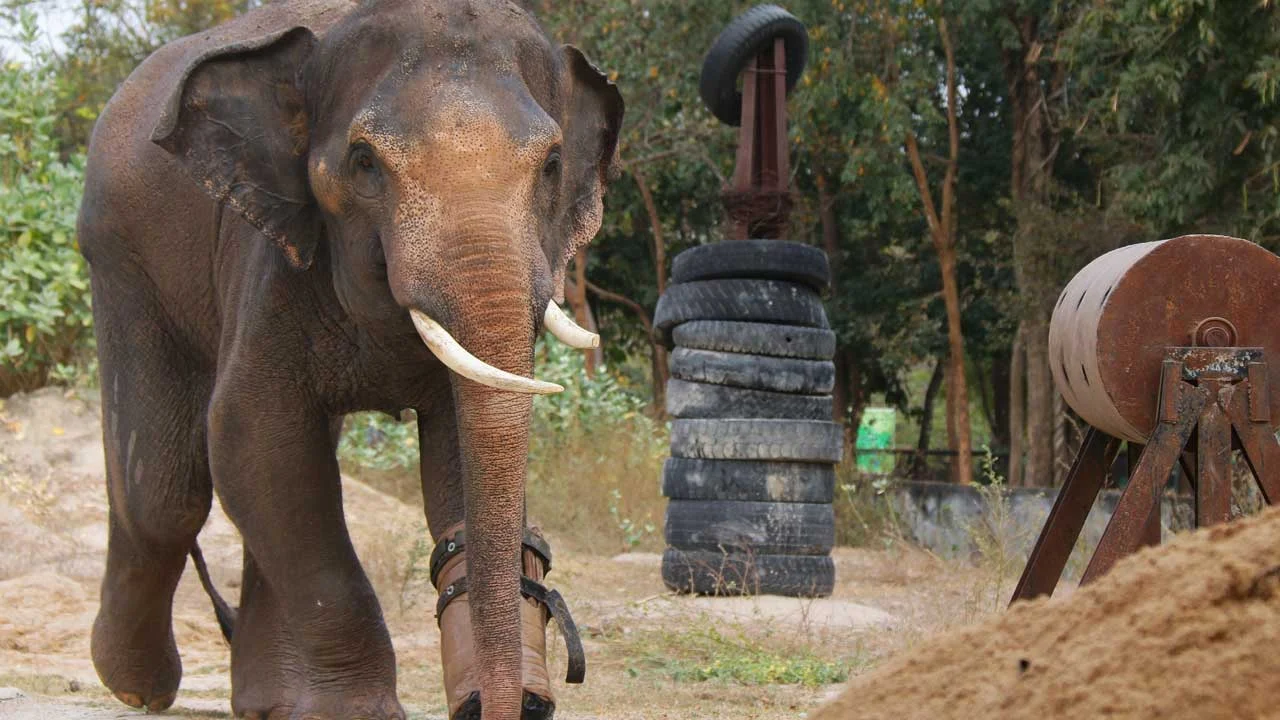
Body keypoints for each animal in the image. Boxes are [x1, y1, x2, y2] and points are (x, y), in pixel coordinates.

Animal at [75, 0, 623, 718]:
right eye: (364, 161)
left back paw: (264, 704)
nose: (519, 704)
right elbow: (252, 436)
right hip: (121, 260)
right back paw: (137, 683)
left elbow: (452, 454)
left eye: (553, 163)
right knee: (165, 496)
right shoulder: (272, 261)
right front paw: (357, 712)